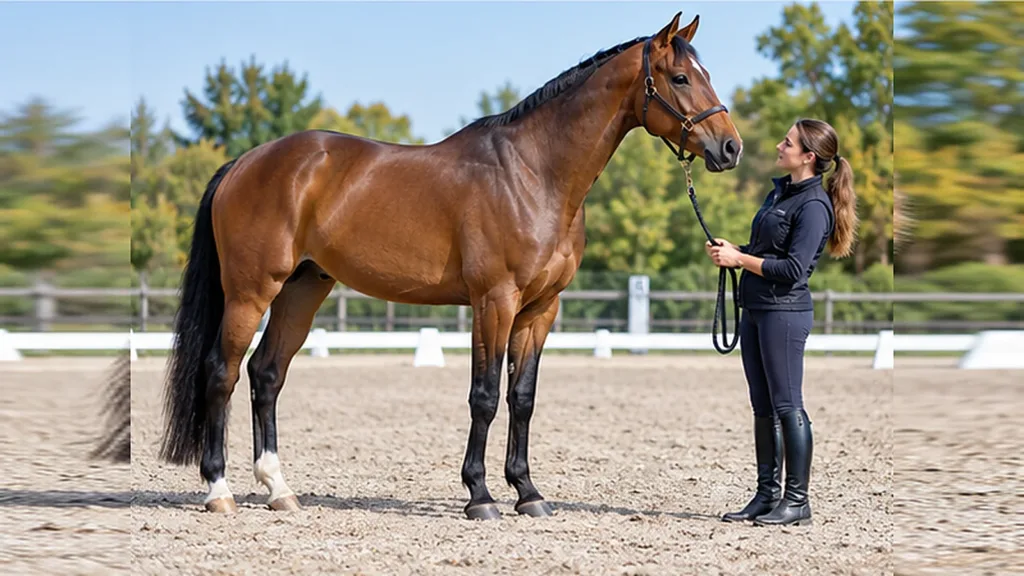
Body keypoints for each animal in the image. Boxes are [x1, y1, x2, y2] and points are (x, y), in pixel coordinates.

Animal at [158, 12, 743, 520]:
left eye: (707, 75)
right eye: (680, 77)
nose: (730, 147)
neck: (534, 174)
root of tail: (244, 162)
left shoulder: (540, 310)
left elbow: (522, 398)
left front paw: (528, 493)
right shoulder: (494, 301)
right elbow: (483, 396)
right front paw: (480, 496)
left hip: (303, 290)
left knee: (267, 374)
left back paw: (279, 489)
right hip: (251, 290)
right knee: (222, 372)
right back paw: (219, 492)